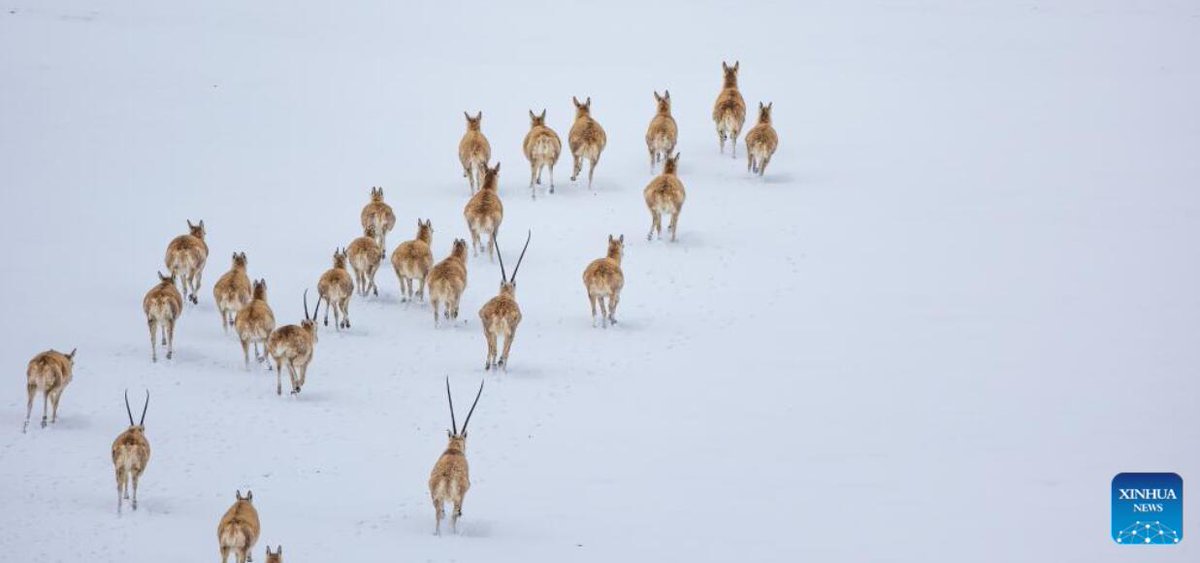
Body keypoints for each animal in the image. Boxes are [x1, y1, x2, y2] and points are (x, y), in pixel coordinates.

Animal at [429, 374, 484, 532]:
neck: (453, 450)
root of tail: (447, 479)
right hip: (457, 499)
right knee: (454, 515)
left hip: (437, 499)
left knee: (439, 515)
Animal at [477, 230, 530, 369]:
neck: (505, 295)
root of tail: (501, 311)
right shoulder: (513, 330)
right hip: (507, 332)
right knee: (501, 354)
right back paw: (497, 365)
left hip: (491, 330)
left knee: (494, 352)